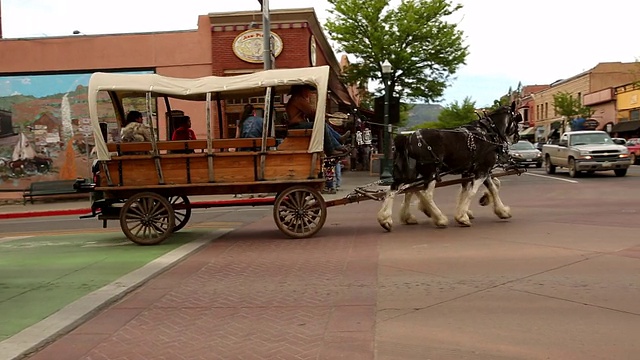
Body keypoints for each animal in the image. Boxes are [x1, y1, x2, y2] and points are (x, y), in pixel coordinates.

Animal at [378, 101, 524, 231]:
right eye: (517, 119)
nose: (517, 137)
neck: (488, 133)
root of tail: (408, 139)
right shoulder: (482, 170)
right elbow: (472, 192)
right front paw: (463, 217)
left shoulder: (477, 171)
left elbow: (488, 189)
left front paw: (501, 211)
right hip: (430, 172)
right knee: (425, 194)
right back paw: (440, 218)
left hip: (410, 174)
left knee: (395, 189)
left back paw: (387, 219)